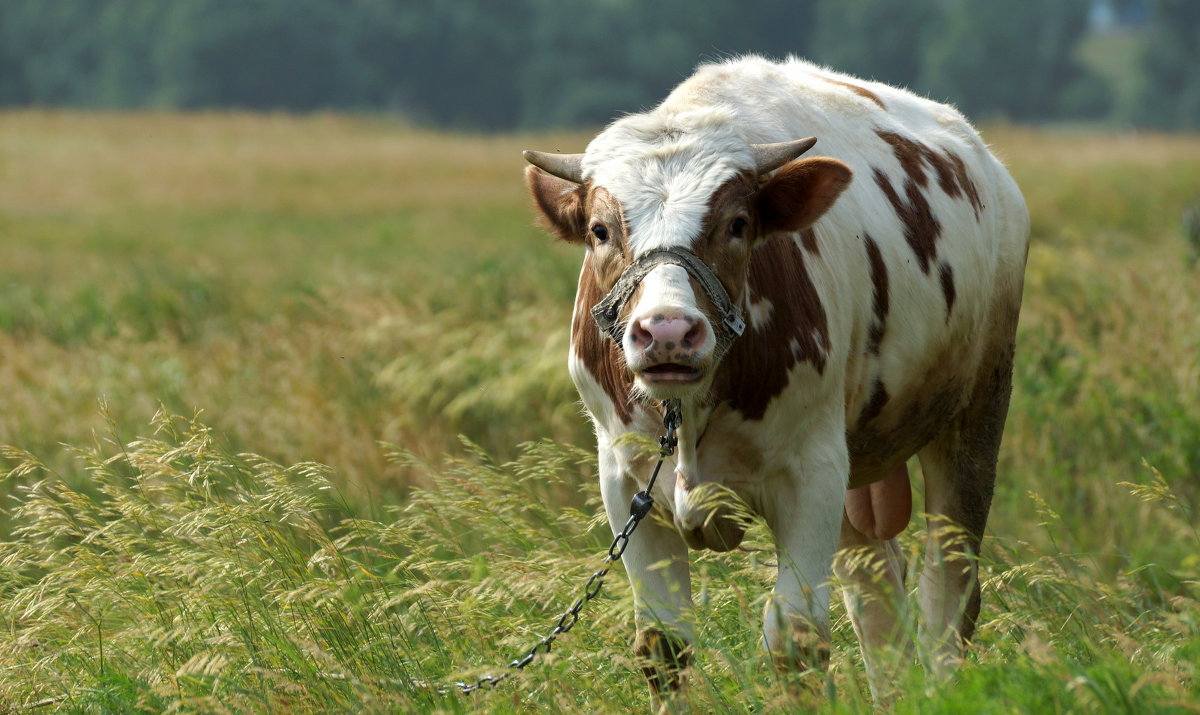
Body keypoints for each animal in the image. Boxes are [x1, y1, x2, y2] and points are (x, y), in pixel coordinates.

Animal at [520, 55, 1027, 705]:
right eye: (600, 230)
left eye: (737, 224)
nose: (667, 331)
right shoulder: (623, 476)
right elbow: (663, 643)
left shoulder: (810, 472)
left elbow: (795, 639)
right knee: (877, 598)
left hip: (975, 410)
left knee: (949, 589)